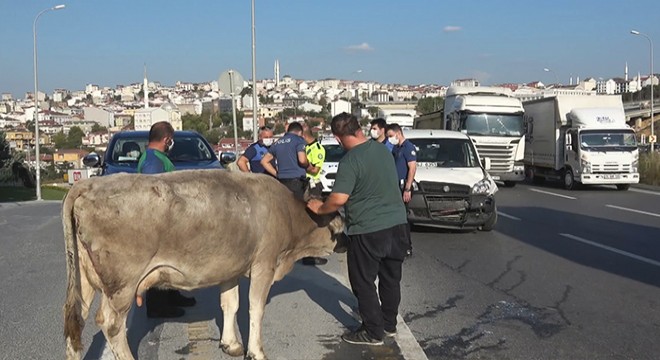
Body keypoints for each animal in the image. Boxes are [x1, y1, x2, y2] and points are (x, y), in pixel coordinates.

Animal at [62, 171, 346, 360]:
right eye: (339, 224)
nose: (346, 243)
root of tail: (89, 183)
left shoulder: (230, 267)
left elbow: (230, 304)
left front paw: (231, 344)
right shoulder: (264, 263)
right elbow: (255, 308)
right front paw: (256, 351)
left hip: (84, 280)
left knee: (76, 323)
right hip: (123, 284)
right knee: (111, 324)